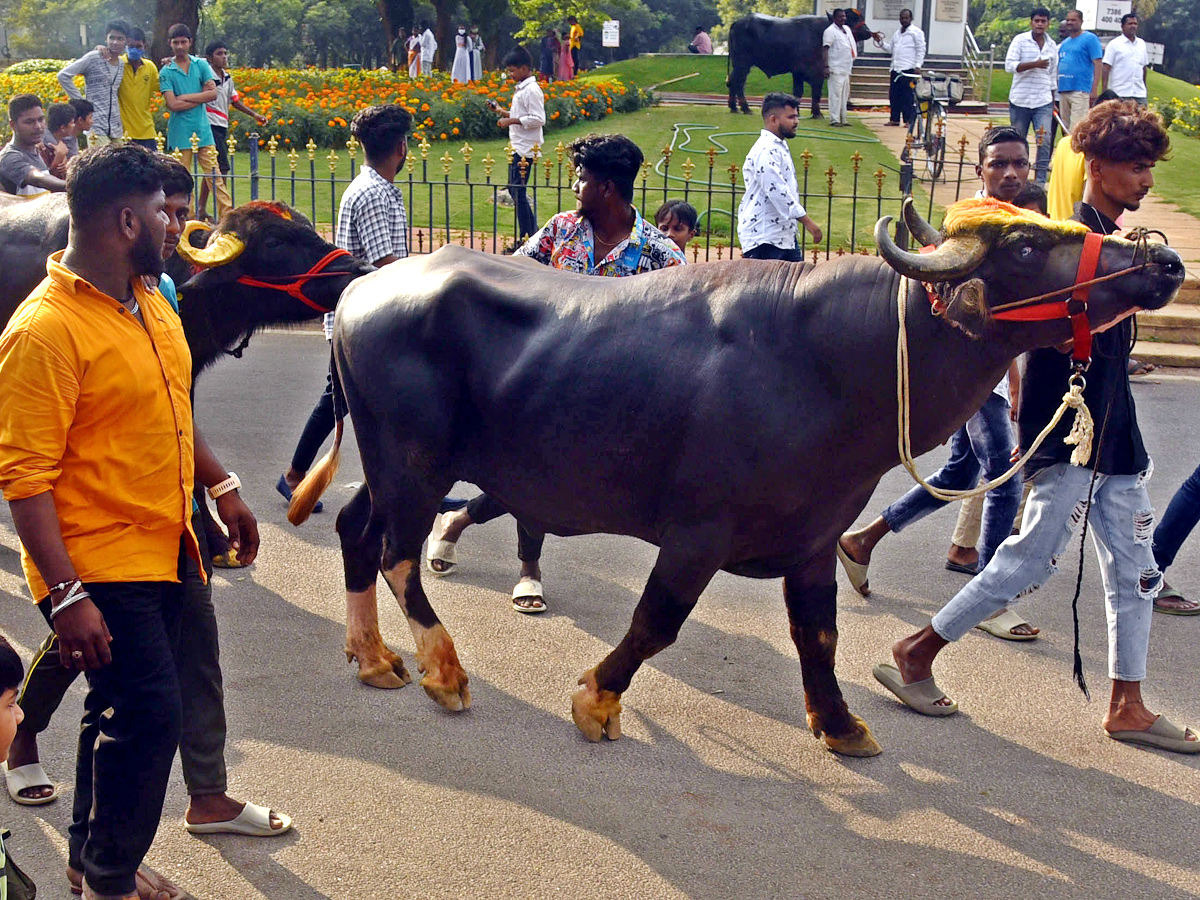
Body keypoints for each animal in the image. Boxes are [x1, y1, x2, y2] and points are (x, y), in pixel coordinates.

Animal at [288, 200, 1180, 758]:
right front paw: (596, 700)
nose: (1163, 256)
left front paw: (841, 723)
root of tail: (365, 284)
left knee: (357, 531)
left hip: (394, 466)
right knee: (398, 555)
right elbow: (655, 624)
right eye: (1026, 247)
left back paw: (373, 657)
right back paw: (442, 669)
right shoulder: (696, 535)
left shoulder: (815, 538)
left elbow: (818, 636)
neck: (831, 365)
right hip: (415, 463)